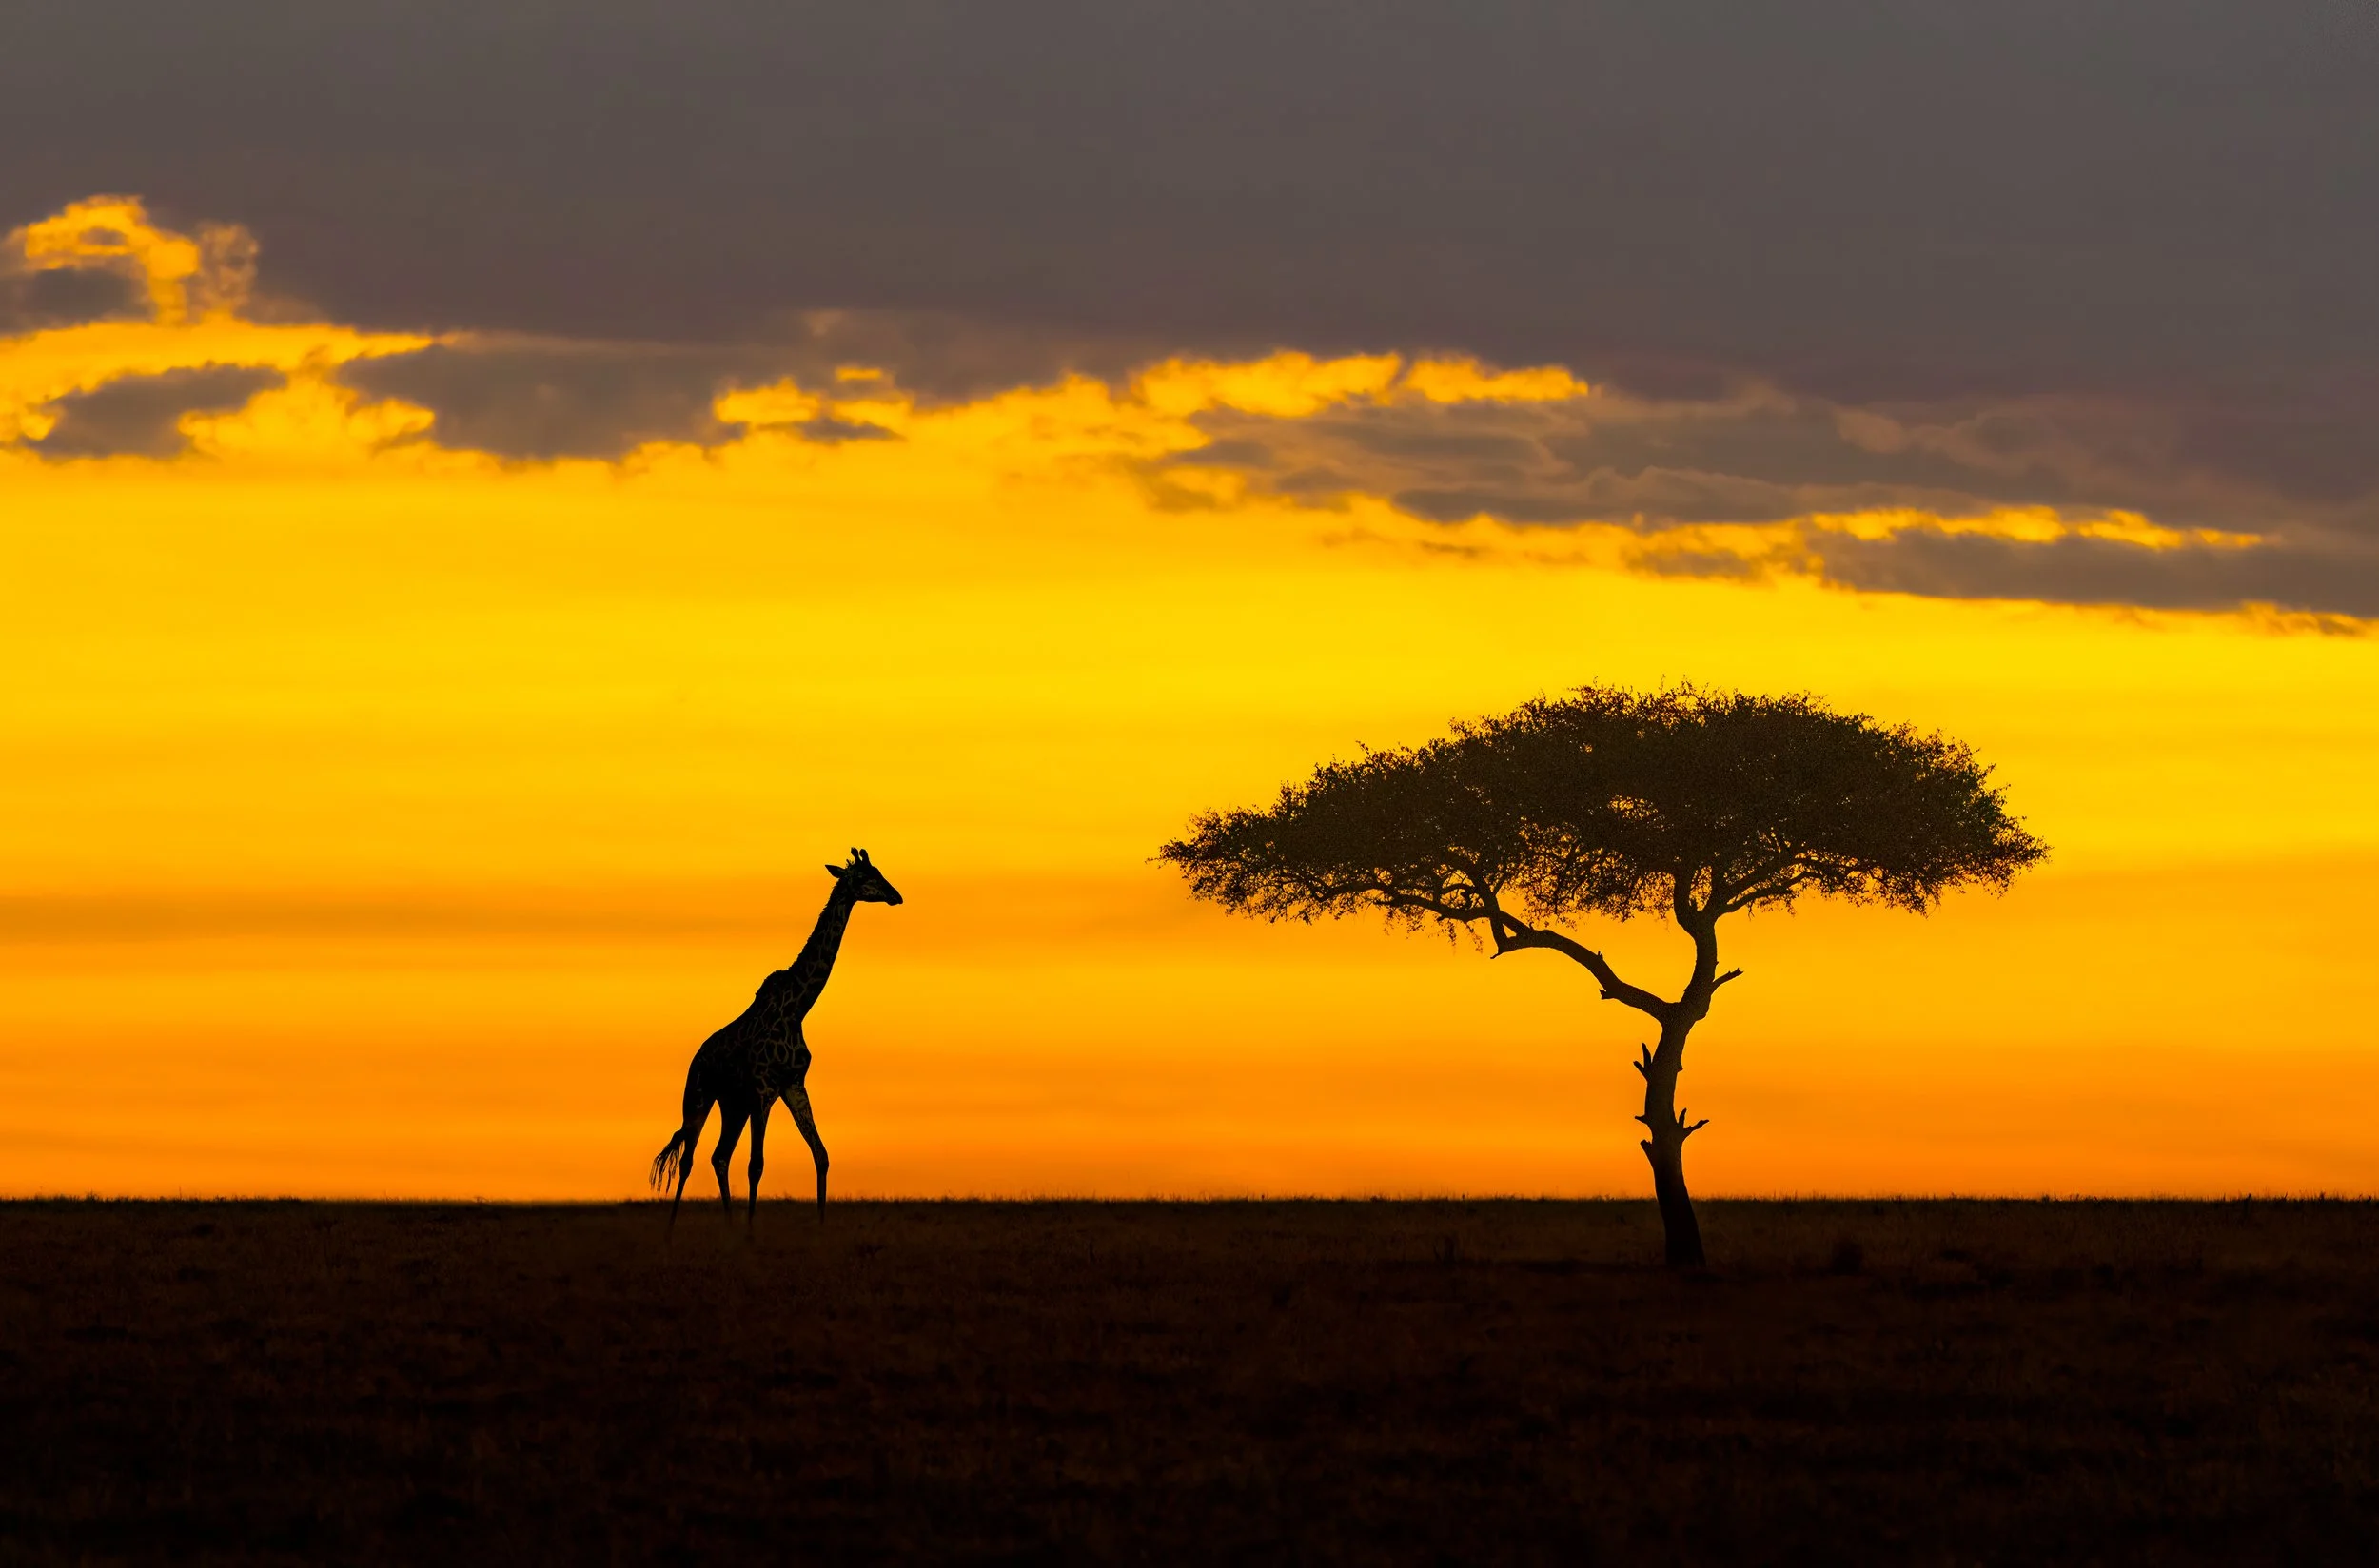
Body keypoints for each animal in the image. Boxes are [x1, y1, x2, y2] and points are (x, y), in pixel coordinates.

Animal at [648, 848, 903, 1230]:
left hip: (733, 1104)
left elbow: (821, 1155)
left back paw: (729, 1225)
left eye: (879, 871)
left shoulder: (793, 1084)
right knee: (688, 1160)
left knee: (719, 1156)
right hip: (699, 1096)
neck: (798, 1008)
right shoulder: (765, 1089)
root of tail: (697, 1057)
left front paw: (820, 1227)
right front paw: (752, 1232)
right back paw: (671, 1230)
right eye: (865, 876)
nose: (895, 895)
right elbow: (757, 1165)